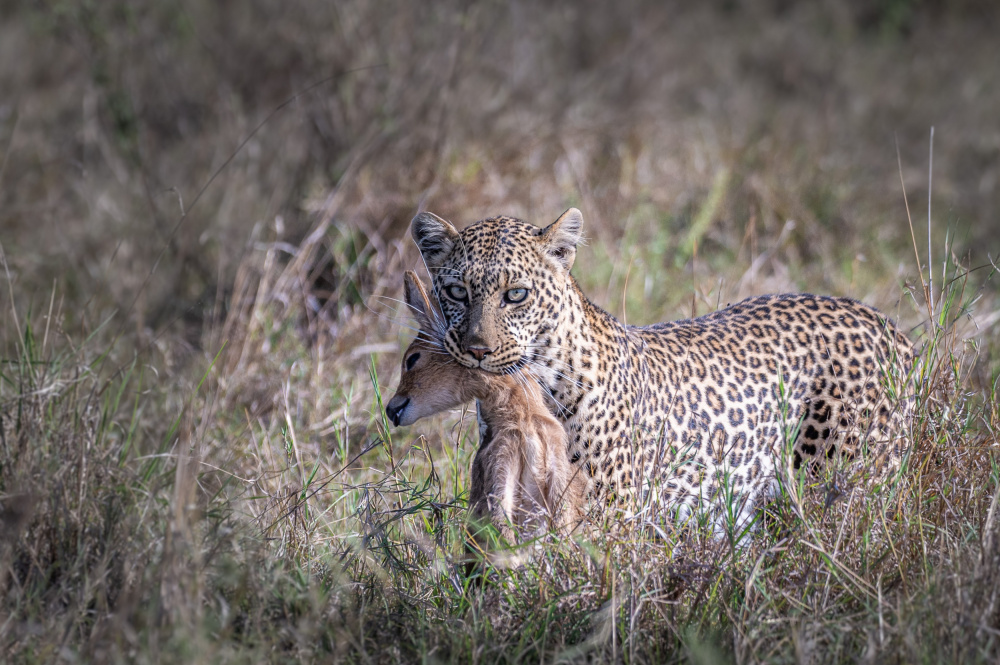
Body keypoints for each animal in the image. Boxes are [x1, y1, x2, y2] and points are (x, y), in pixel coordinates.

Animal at [410, 208, 916, 528]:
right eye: (456, 292)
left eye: (516, 294)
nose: (477, 349)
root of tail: (888, 325)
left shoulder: (609, 514)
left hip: (848, 480)